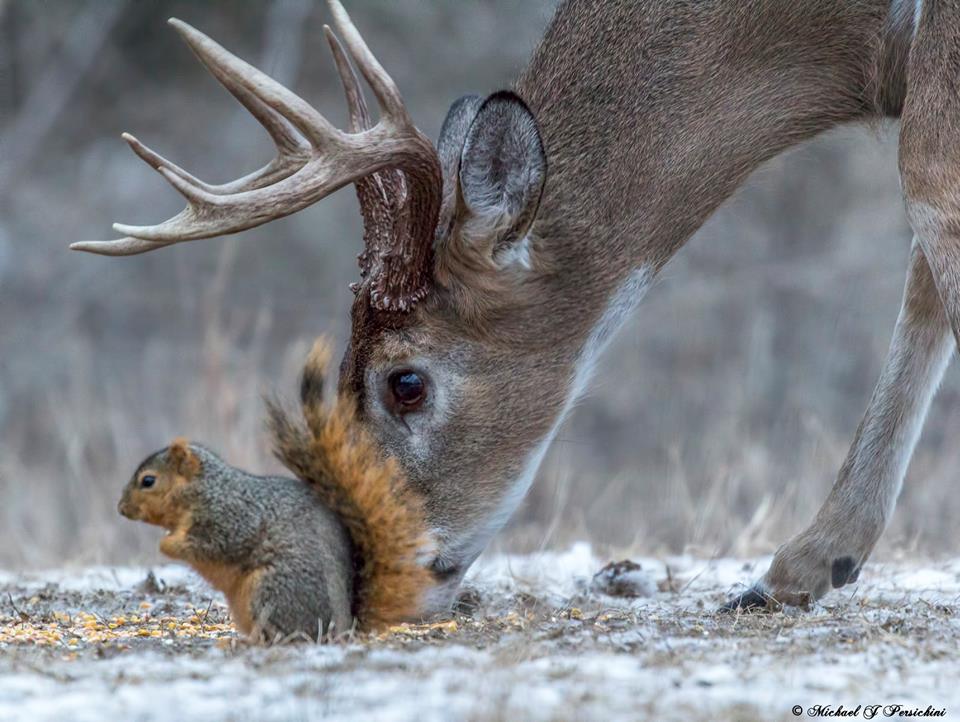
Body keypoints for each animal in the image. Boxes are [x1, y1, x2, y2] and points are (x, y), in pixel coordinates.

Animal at [118, 340, 433, 642]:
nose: (121, 509)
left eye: (148, 481)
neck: (207, 490)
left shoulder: (231, 519)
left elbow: (215, 545)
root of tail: (342, 626)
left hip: (271, 589)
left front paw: (166, 544)